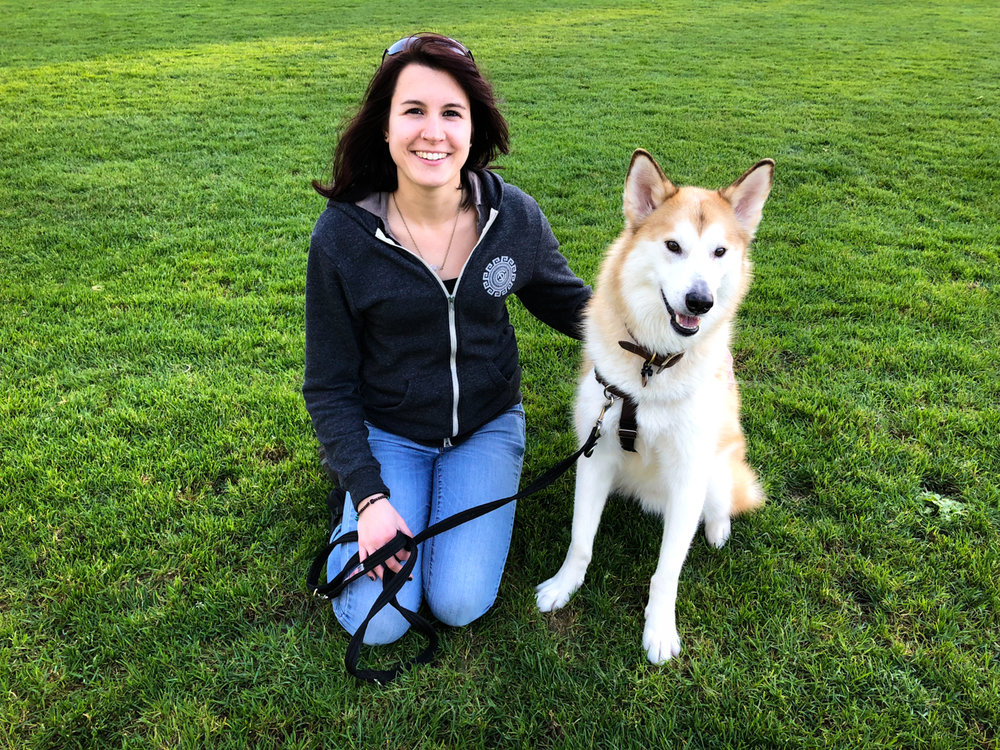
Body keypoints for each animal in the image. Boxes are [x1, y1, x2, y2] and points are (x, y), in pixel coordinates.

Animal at [536, 151, 776, 664]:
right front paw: (564, 587)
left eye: (719, 252)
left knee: (724, 500)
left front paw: (660, 630)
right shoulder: (595, 454)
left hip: (718, 465)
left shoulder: (688, 474)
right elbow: (580, 541)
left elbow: (667, 571)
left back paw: (717, 529)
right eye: (673, 246)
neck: (652, 366)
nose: (700, 301)